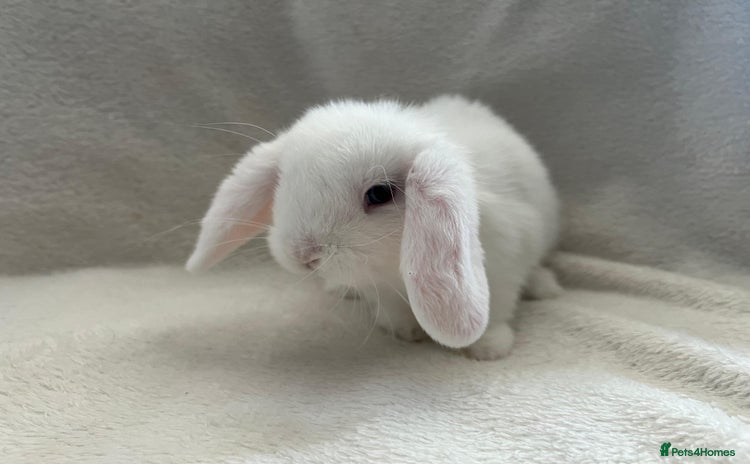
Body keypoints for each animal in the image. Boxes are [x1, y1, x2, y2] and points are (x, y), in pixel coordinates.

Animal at [186, 95, 561, 360]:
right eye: (284, 183)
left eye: (379, 194)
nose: (304, 255)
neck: (392, 268)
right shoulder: (378, 287)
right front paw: (406, 331)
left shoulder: (505, 260)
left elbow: (497, 307)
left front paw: (488, 348)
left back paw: (547, 288)